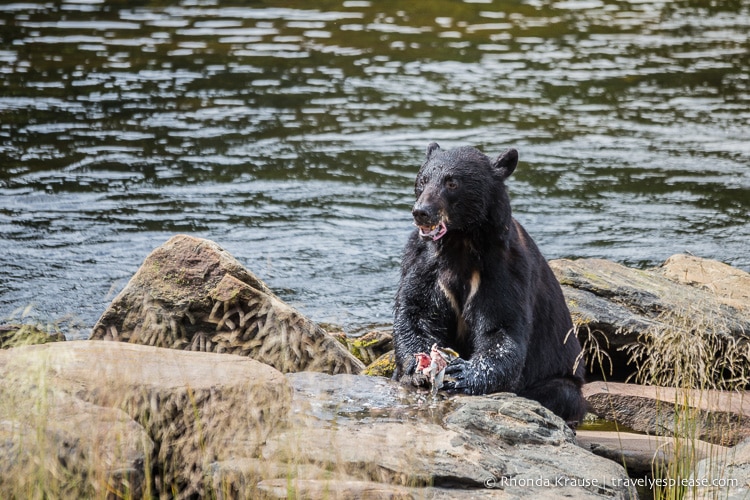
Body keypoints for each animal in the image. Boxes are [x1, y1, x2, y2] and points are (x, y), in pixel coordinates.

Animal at [394, 143, 588, 424]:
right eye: (423, 179)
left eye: (452, 182)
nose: (422, 212)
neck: (459, 244)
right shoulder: (424, 263)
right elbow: (416, 310)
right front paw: (417, 366)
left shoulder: (504, 270)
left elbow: (501, 327)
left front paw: (462, 374)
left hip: (560, 377)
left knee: (561, 393)